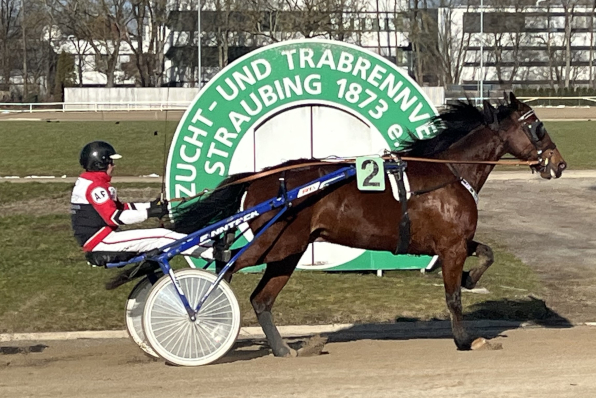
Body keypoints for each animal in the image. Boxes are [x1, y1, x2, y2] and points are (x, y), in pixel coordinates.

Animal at [171, 92, 568, 354]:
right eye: (537, 126)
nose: (559, 163)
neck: (450, 172)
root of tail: (262, 177)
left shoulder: (451, 243)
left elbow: (486, 254)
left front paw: (472, 278)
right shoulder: (451, 247)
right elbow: (453, 297)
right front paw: (464, 340)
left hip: (288, 251)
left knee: (261, 298)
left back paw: (286, 349)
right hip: (279, 244)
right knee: (227, 265)